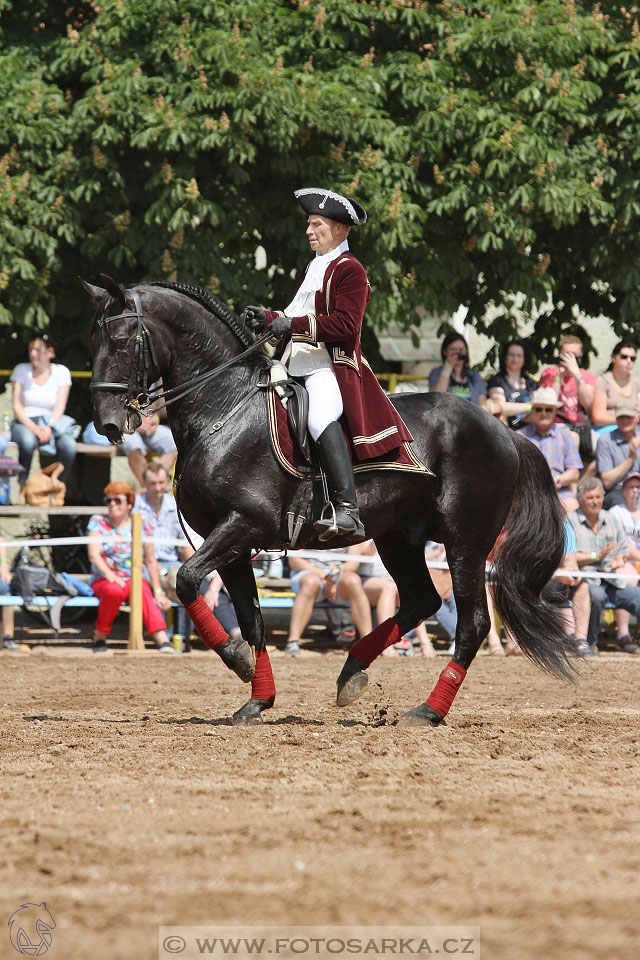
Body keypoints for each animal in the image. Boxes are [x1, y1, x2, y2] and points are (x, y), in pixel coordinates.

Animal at [86, 278, 576, 728]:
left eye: (122, 340)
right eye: (95, 340)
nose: (106, 422)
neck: (224, 408)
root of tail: (505, 430)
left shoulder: (242, 525)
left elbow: (186, 580)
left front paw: (238, 660)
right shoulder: (230, 542)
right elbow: (250, 619)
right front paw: (257, 699)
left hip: (466, 543)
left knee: (471, 623)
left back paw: (428, 711)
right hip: (399, 538)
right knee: (421, 601)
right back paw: (351, 672)